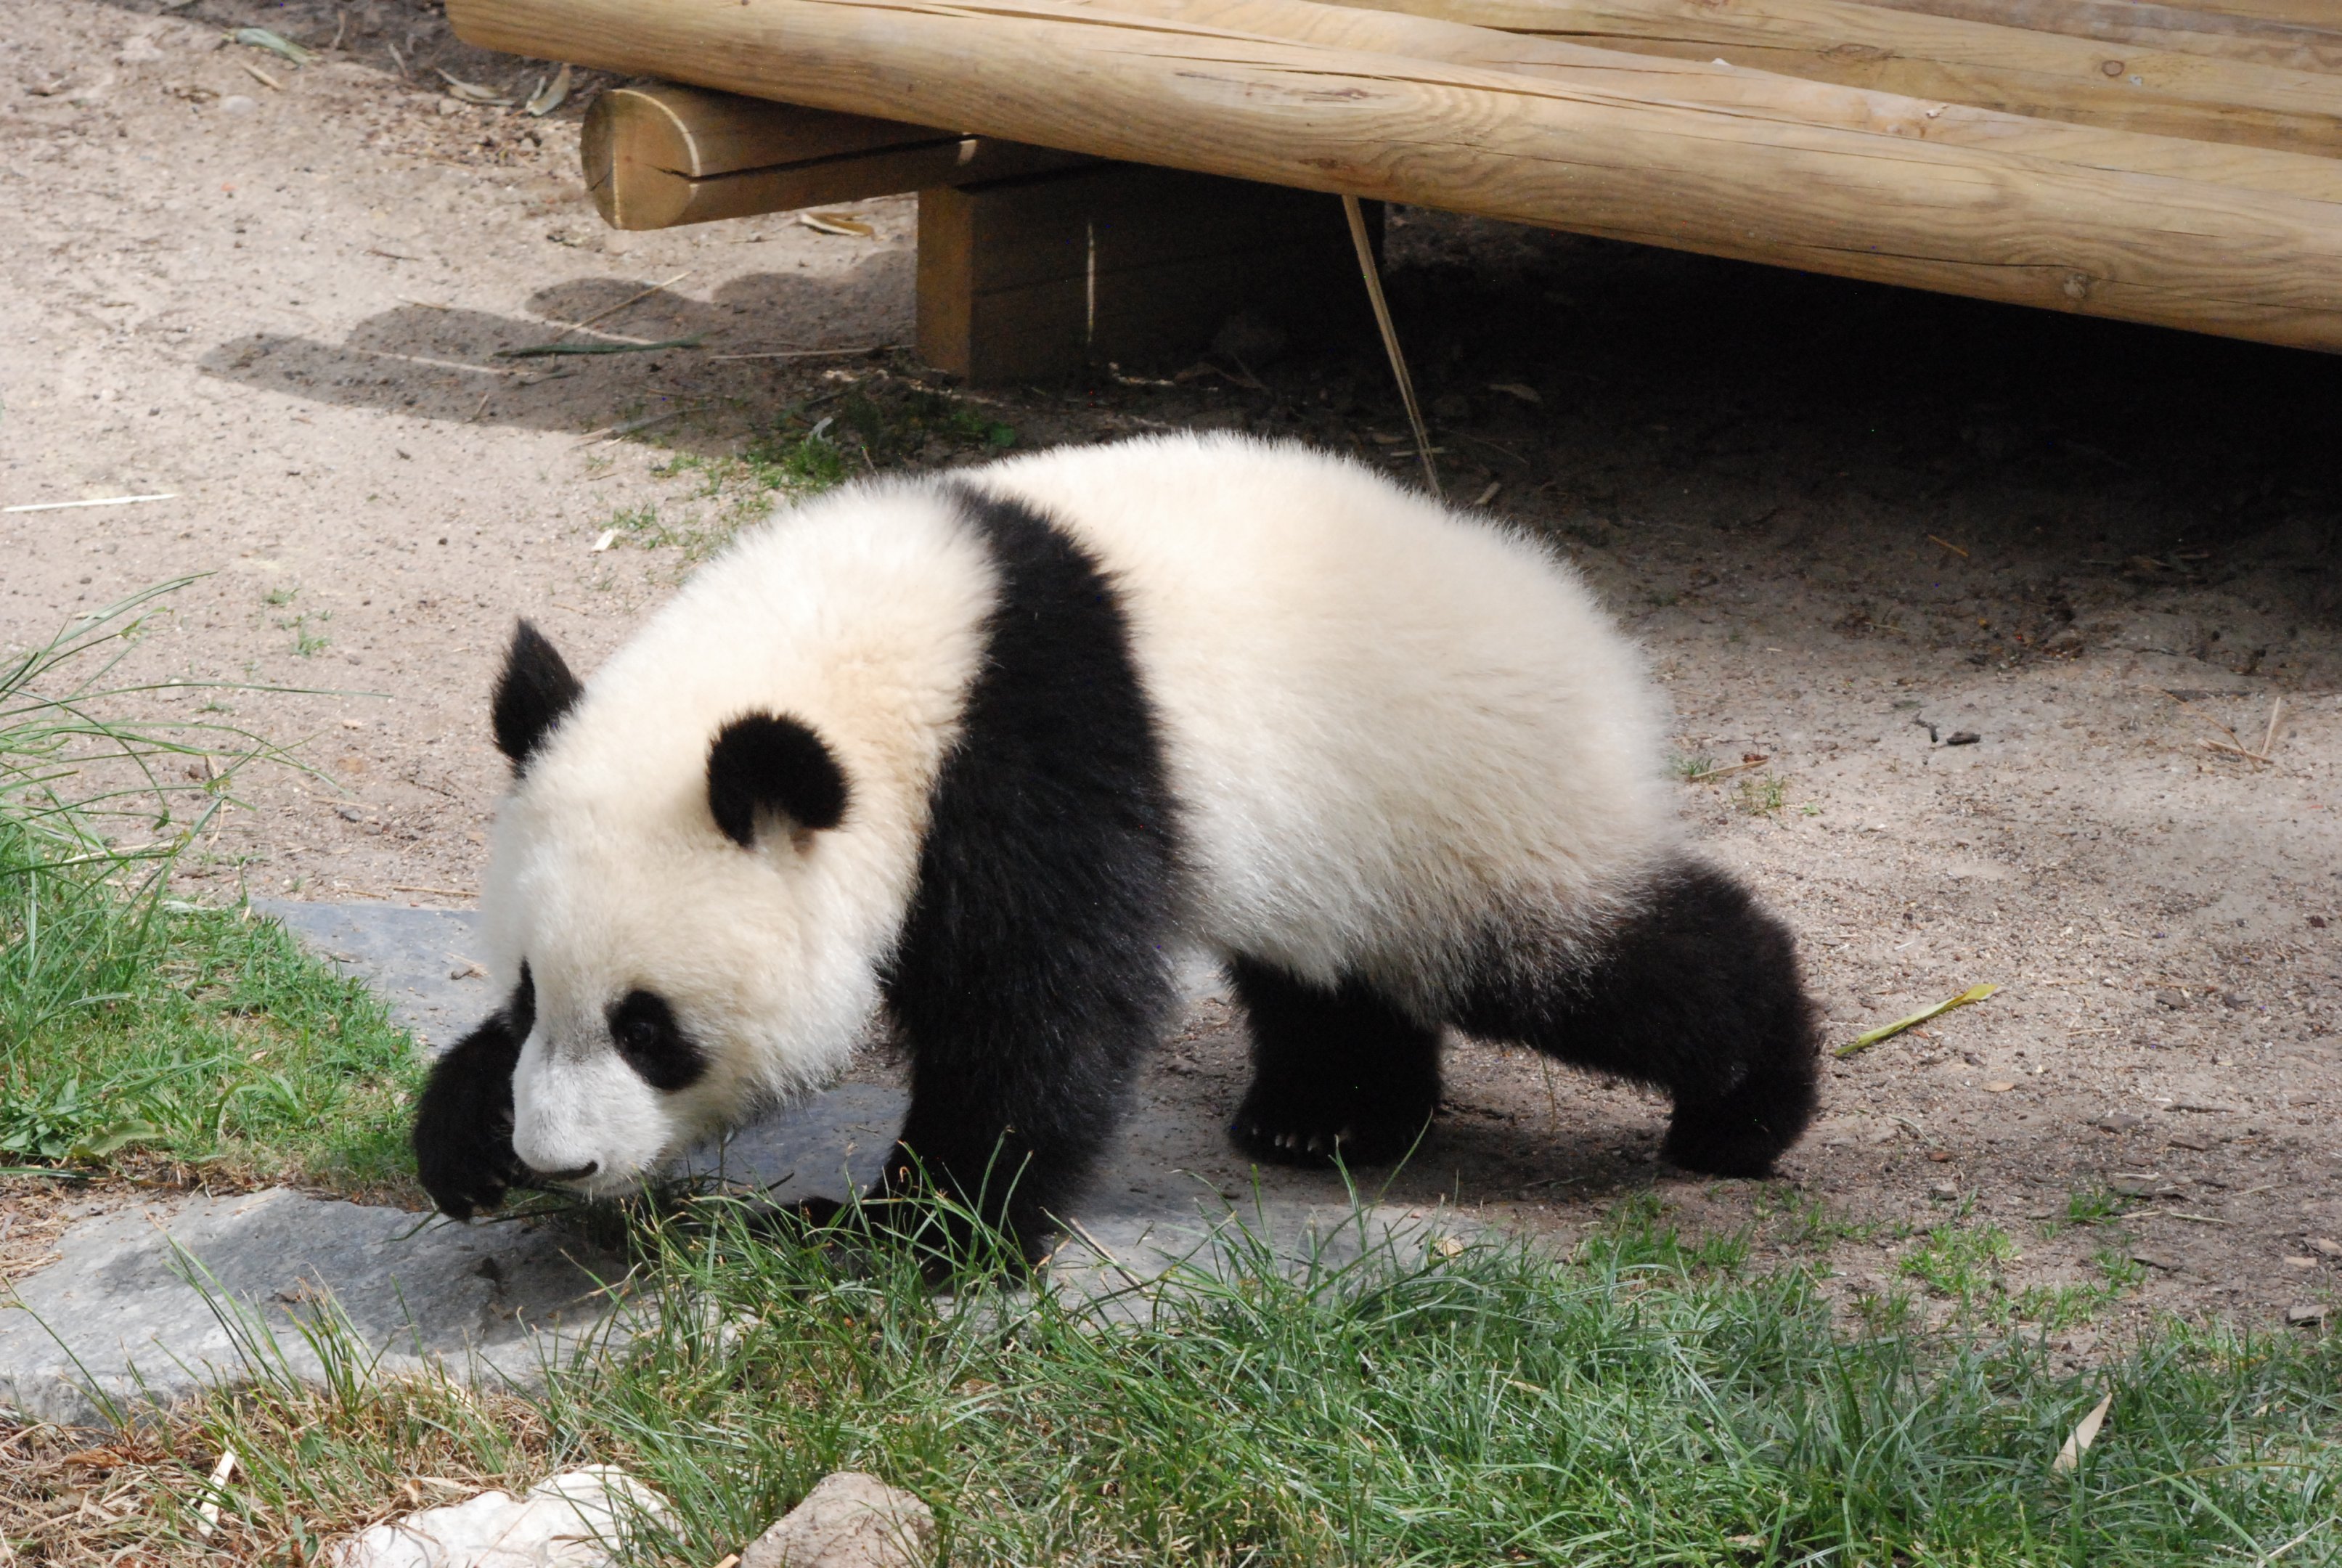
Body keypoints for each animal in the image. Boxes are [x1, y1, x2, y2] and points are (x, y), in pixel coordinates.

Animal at [413, 433, 1819, 1258]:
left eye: (651, 1028)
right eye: (529, 995)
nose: (558, 1161)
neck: (872, 648)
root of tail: (1585, 623)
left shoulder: (1036, 743)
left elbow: (1041, 1006)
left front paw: (911, 1235)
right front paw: (466, 1127)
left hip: (1457, 790)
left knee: (1593, 960)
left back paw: (1746, 1110)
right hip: (1331, 835)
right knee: (1325, 968)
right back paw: (1328, 1119)